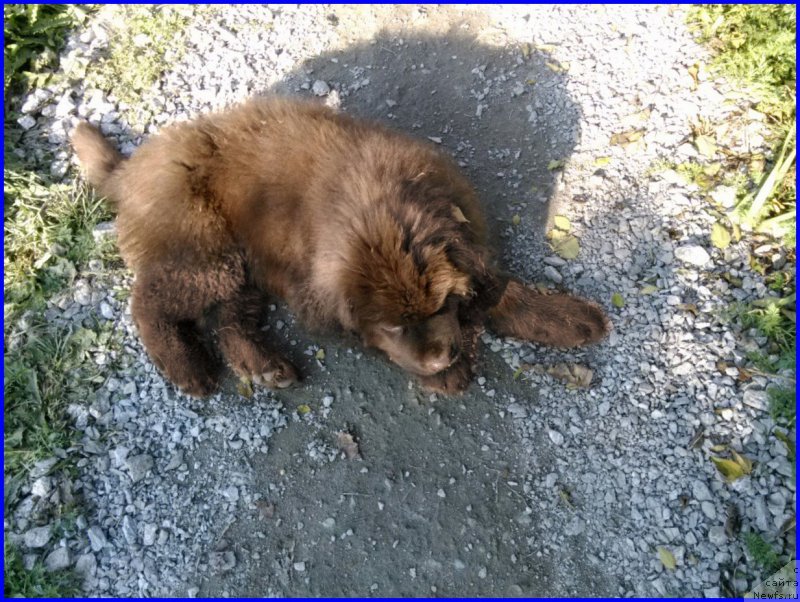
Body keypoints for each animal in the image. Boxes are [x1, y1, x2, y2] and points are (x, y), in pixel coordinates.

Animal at [72, 96, 608, 396]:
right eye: (392, 325)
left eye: (439, 306)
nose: (438, 358)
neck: (381, 202)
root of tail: (132, 167)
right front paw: (446, 377)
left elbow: (499, 291)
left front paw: (570, 318)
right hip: (205, 252)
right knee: (149, 302)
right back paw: (188, 368)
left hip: (241, 265)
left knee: (229, 318)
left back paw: (264, 367)